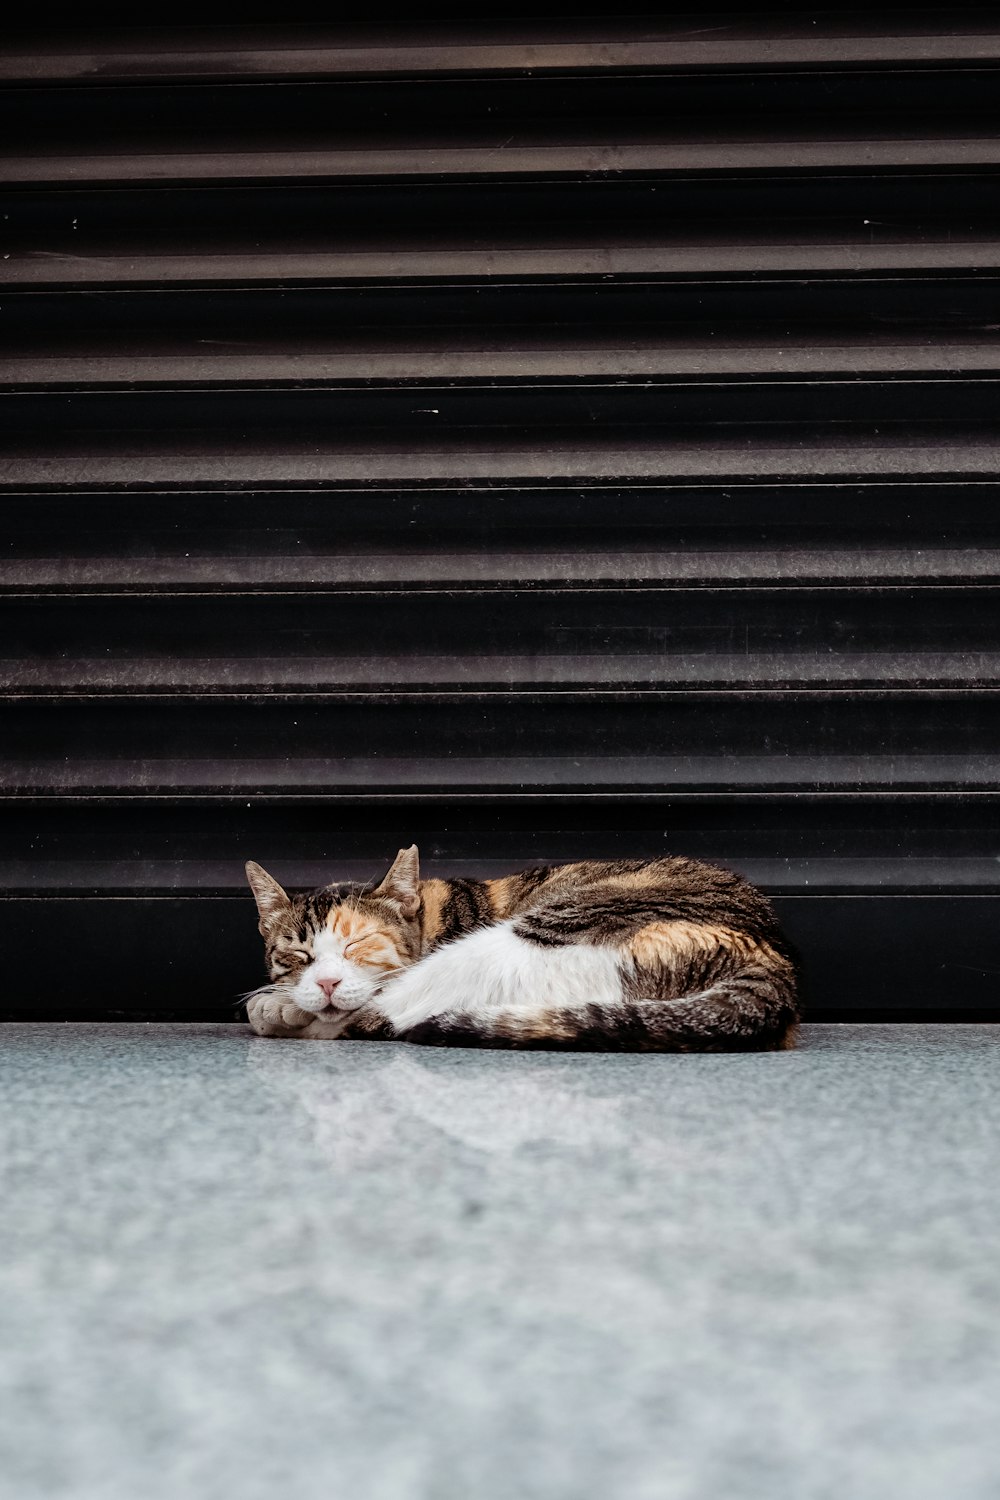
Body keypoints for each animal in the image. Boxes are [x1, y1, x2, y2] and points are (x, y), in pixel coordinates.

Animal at [239, 846, 797, 1056]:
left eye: (358, 943)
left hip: (520, 939)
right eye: (297, 956)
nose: (326, 982)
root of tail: (772, 960)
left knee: (386, 1016)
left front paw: (281, 1008)